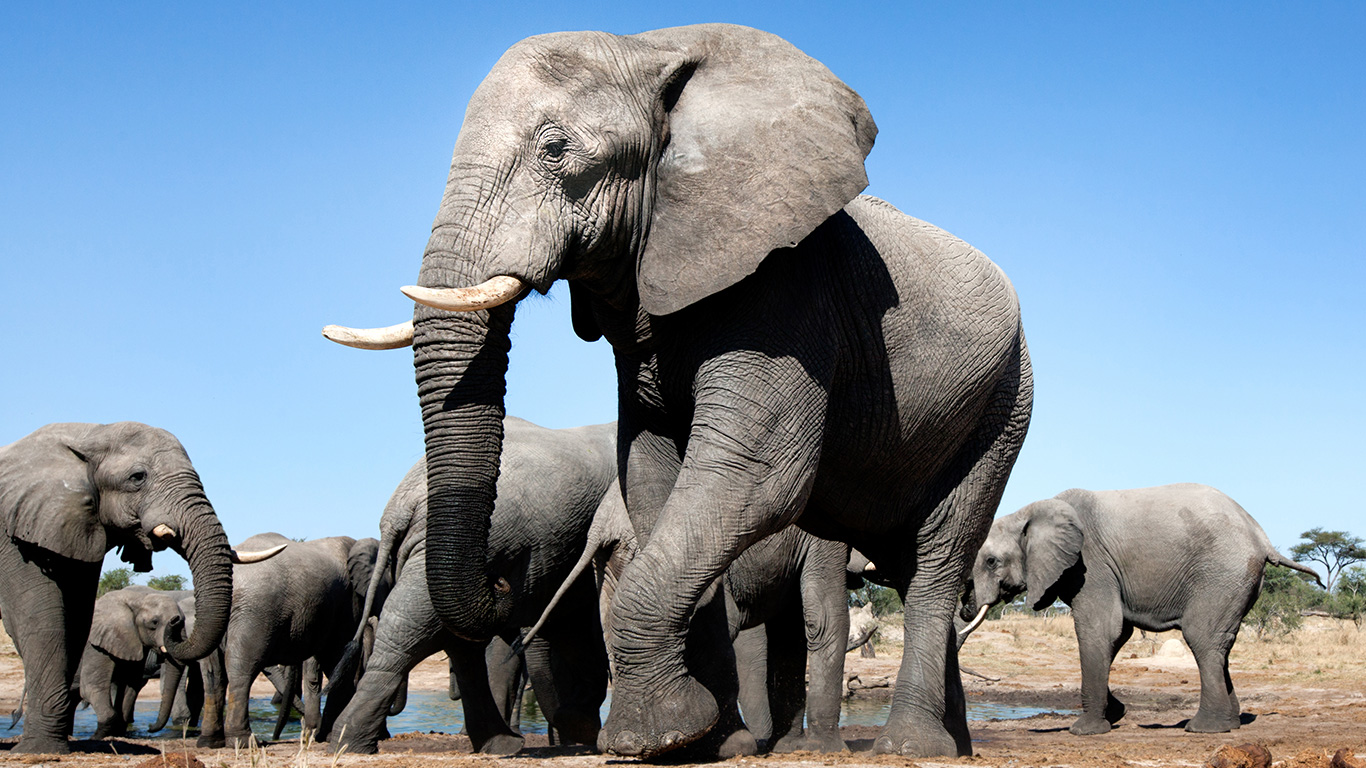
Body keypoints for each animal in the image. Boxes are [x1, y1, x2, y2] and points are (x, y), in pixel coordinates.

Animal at [77, 586, 186, 738]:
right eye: (154, 622)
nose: (150, 727)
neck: (137, 600)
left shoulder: (134, 643)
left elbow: (130, 686)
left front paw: (118, 733)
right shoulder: (95, 646)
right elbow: (90, 687)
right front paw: (97, 737)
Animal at [194, 533, 385, 748]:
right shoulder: (348, 603)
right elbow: (336, 659)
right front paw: (328, 736)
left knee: (214, 676)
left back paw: (210, 742)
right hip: (255, 613)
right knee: (242, 667)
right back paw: (243, 742)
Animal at [328, 416, 615, 756]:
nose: (501, 582)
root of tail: (401, 504)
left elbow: (575, 627)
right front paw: (585, 730)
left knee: (449, 639)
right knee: (415, 633)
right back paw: (350, 745)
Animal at [960, 484, 1322, 736]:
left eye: (991, 562)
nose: (966, 608)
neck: (1028, 512)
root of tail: (1263, 539)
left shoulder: (1090, 564)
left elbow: (1100, 629)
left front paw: (1086, 730)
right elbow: (1118, 632)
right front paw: (1115, 714)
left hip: (1221, 573)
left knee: (1202, 637)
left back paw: (1204, 728)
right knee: (1222, 646)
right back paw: (1231, 723)